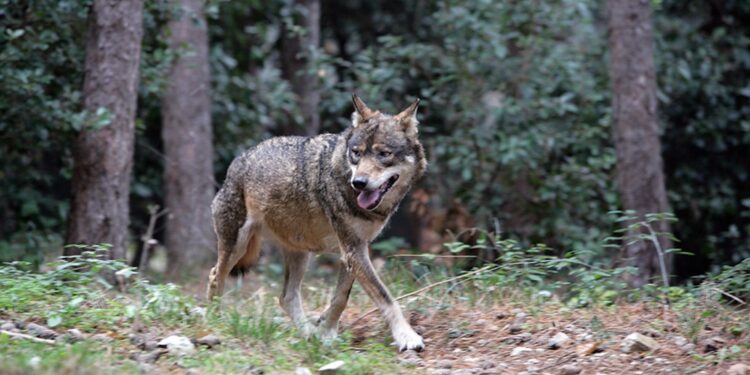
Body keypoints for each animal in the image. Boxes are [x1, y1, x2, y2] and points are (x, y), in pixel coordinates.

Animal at [206, 94, 428, 352]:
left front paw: (325, 332)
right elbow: (386, 297)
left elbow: (340, 298)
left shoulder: (354, 251)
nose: (359, 182)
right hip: (237, 246)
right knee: (215, 275)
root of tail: (238, 160)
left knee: (286, 297)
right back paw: (215, 321)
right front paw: (407, 336)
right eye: (356, 153)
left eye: (384, 154)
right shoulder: (353, 250)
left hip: (300, 254)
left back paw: (308, 334)